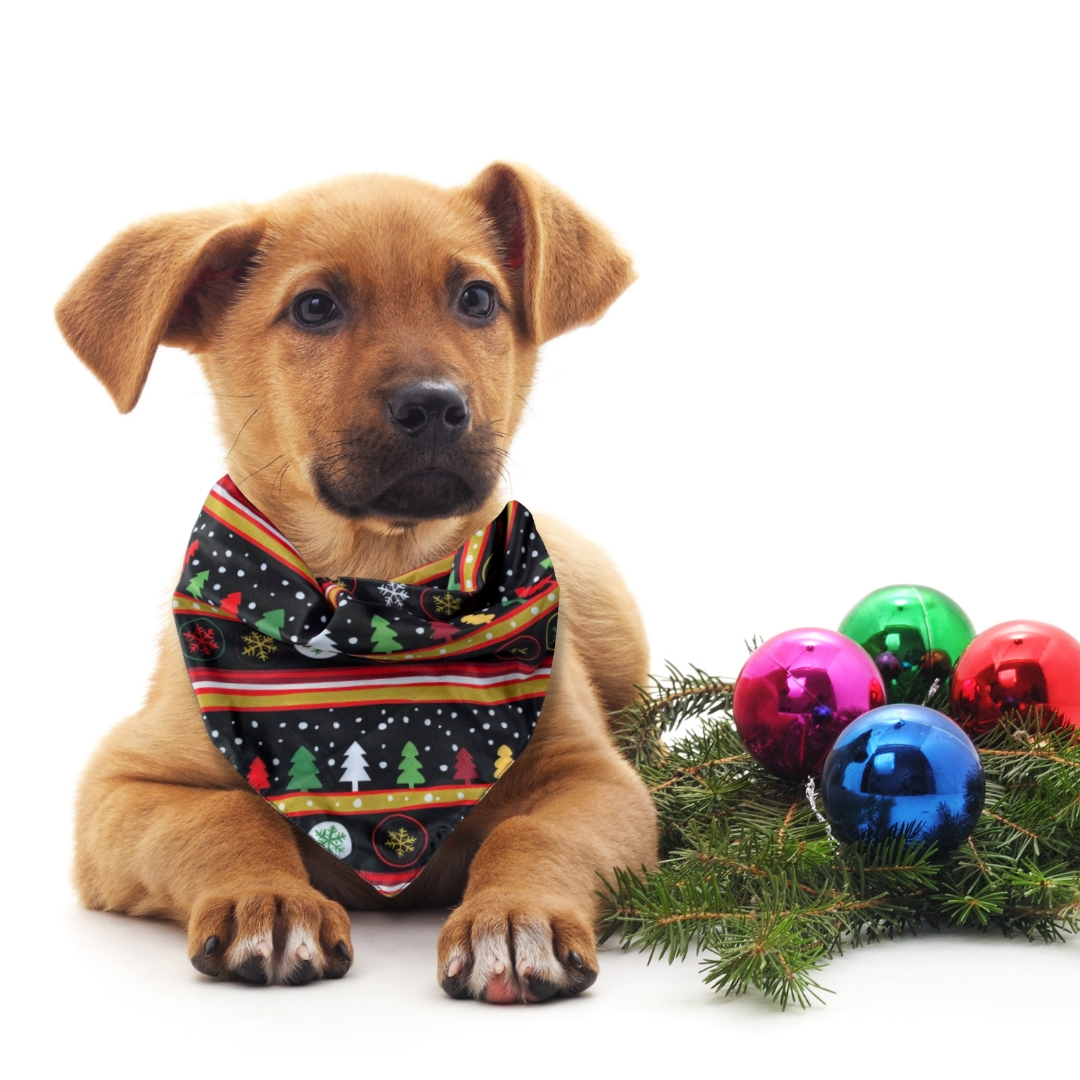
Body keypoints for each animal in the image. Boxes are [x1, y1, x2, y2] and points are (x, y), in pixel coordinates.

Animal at [59, 162, 656, 1002]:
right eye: (315, 307)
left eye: (477, 299)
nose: (435, 405)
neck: (377, 593)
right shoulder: (119, 785)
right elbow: (224, 819)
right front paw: (268, 900)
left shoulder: (600, 781)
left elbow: (531, 831)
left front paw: (514, 916)